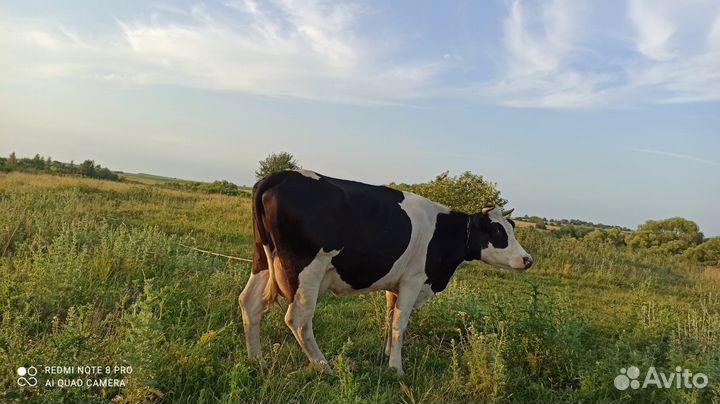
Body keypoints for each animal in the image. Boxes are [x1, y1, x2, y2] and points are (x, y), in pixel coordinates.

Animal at [239, 169, 532, 375]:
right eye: (498, 231)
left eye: (512, 227)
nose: (528, 259)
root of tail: (277, 176)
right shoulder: (414, 280)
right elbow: (401, 323)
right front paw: (397, 368)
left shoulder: (396, 283)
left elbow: (390, 318)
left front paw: (387, 355)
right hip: (308, 269)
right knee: (299, 319)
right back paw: (324, 366)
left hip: (262, 259)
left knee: (249, 302)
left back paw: (256, 360)